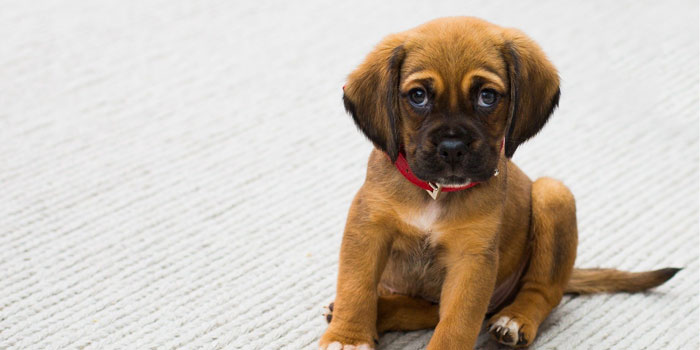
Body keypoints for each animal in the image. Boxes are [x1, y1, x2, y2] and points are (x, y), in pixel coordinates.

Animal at [318, 17, 680, 350]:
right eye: (418, 96)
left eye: (487, 96)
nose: (453, 147)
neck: (435, 194)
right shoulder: (367, 231)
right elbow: (356, 288)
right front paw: (348, 337)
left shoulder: (472, 260)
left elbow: (457, 323)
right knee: (422, 310)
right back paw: (377, 311)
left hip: (553, 195)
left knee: (543, 292)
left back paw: (516, 319)